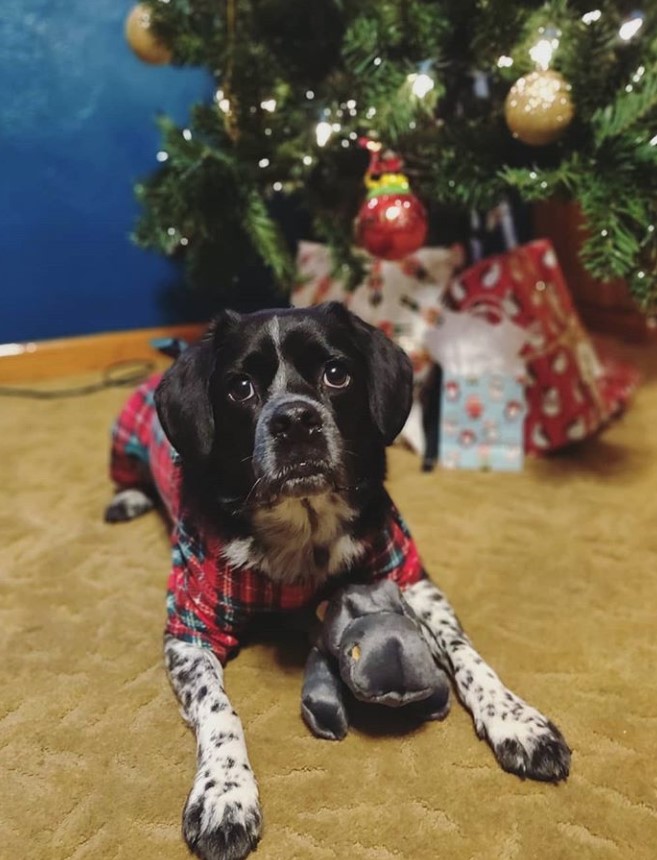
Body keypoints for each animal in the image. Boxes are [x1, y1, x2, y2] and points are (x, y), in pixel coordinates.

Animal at [105, 302, 568, 860]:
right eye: (240, 387)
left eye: (336, 373)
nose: (294, 419)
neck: (302, 529)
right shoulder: (189, 629)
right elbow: (218, 709)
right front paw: (225, 795)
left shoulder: (409, 575)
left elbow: (466, 653)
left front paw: (517, 721)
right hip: (121, 443)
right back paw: (128, 499)